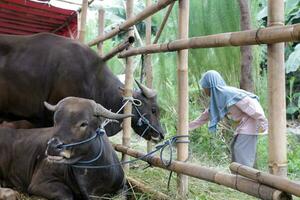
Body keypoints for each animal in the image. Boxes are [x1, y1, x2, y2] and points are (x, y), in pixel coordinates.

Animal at [0, 96, 132, 198]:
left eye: (83, 124)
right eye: (55, 120)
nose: (53, 147)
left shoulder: (123, 187)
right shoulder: (39, 182)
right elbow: (67, 195)